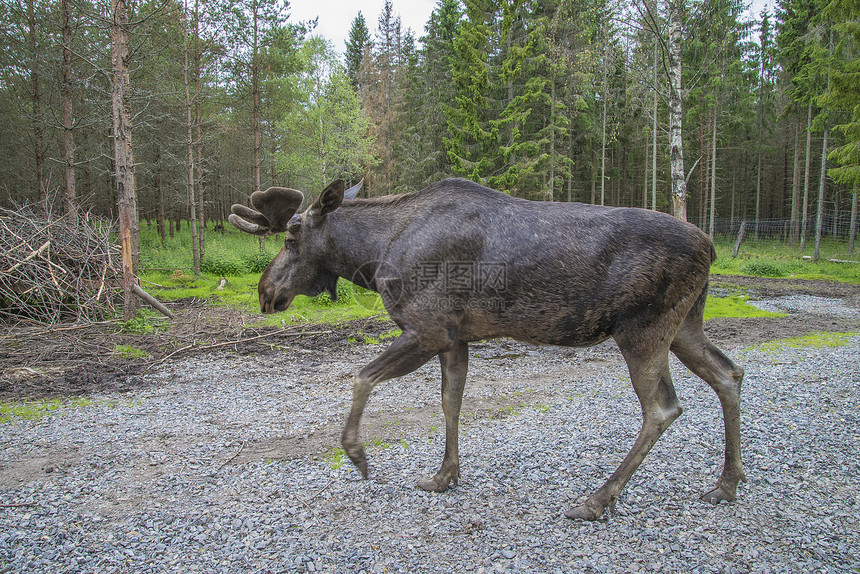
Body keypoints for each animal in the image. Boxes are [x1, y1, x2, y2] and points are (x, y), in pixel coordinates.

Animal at [230, 179, 744, 520]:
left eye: (291, 236)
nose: (264, 292)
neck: (373, 257)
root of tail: (711, 246)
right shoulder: (455, 338)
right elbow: (450, 401)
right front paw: (444, 476)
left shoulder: (428, 328)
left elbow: (362, 377)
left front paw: (357, 454)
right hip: (684, 325)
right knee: (728, 373)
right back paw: (726, 484)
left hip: (643, 330)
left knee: (662, 407)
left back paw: (598, 500)